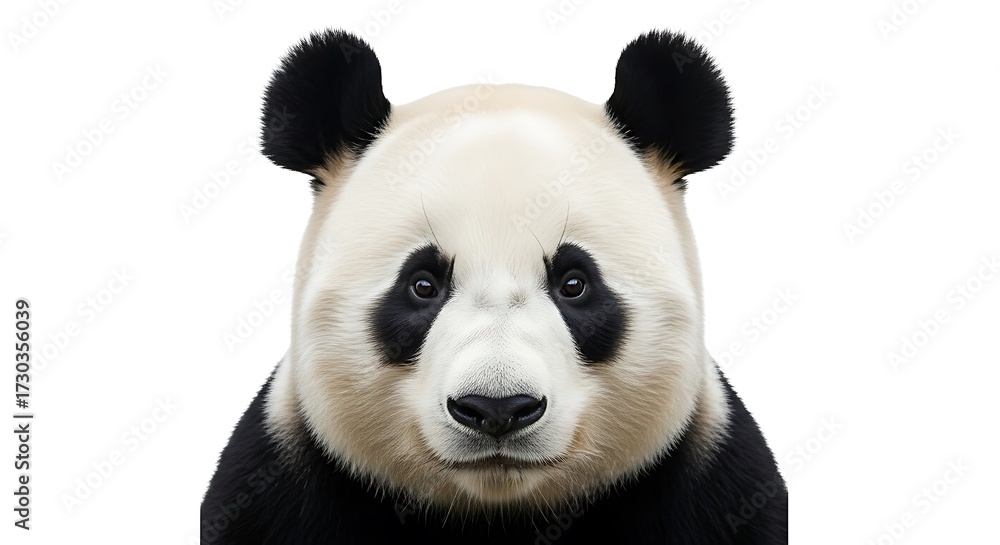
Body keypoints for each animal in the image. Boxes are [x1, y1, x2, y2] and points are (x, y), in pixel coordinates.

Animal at [202, 29, 788, 544]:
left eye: (575, 284)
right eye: (422, 284)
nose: (497, 408)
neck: (497, 514)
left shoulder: (711, 488)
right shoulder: (279, 492)